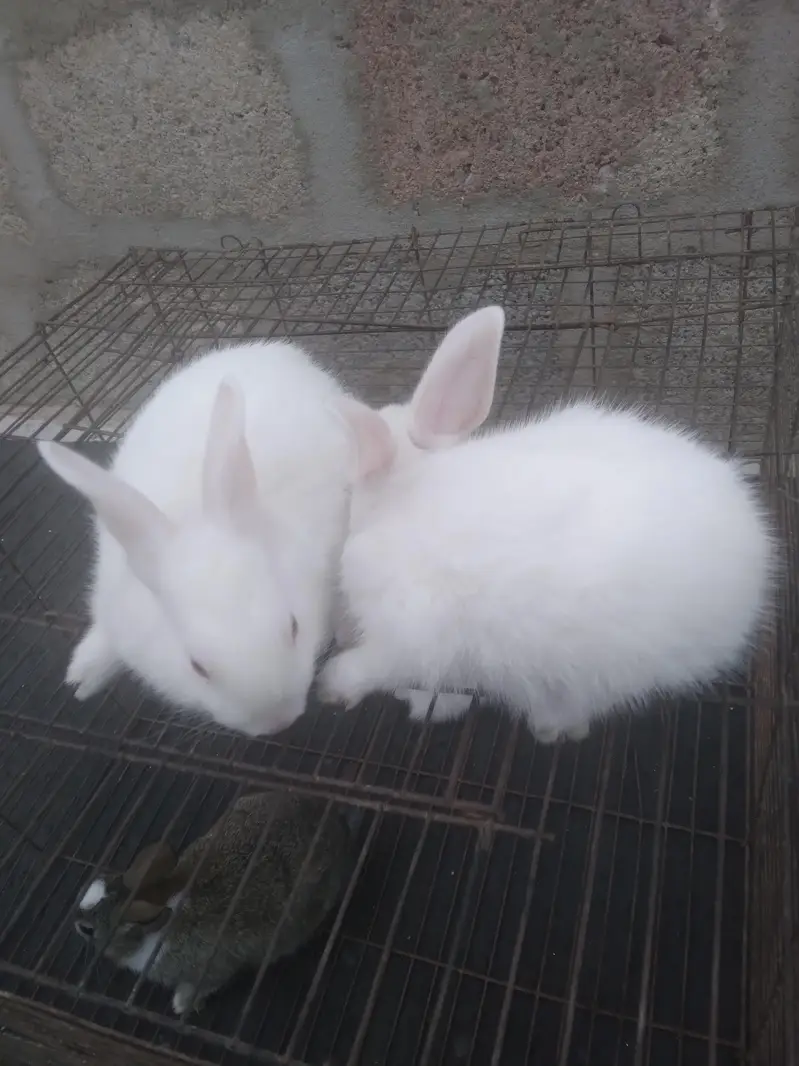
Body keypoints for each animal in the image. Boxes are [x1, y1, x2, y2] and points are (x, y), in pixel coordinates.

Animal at [74, 792, 355, 1016]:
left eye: (88, 929)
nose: (75, 920)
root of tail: (335, 823)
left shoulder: (214, 967)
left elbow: (207, 984)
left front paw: (182, 1004)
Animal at [320, 382, 776, 742]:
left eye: (350, 491)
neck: (401, 499)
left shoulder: (411, 632)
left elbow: (373, 668)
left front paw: (332, 686)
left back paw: (550, 727)